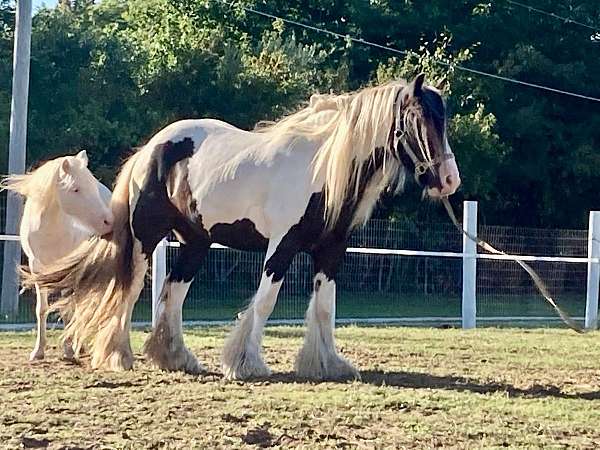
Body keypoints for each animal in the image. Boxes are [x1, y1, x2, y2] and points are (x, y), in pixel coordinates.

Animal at [1, 151, 112, 362]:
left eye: (92, 186)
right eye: (76, 189)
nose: (108, 221)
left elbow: (67, 309)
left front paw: (68, 350)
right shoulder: (37, 269)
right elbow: (42, 309)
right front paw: (38, 351)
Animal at [23, 74, 460, 380]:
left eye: (444, 120)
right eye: (419, 118)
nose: (449, 181)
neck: (322, 170)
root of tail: (152, 148)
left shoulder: (331, 251)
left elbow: (325, 306)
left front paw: (327, 364)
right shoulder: (282, 246)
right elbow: (265, 302)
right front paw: (245, 363)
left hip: (195, 244)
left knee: (172, 294)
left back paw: (174, 356)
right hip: (147, 240)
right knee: (130, 291)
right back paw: (120, 356)